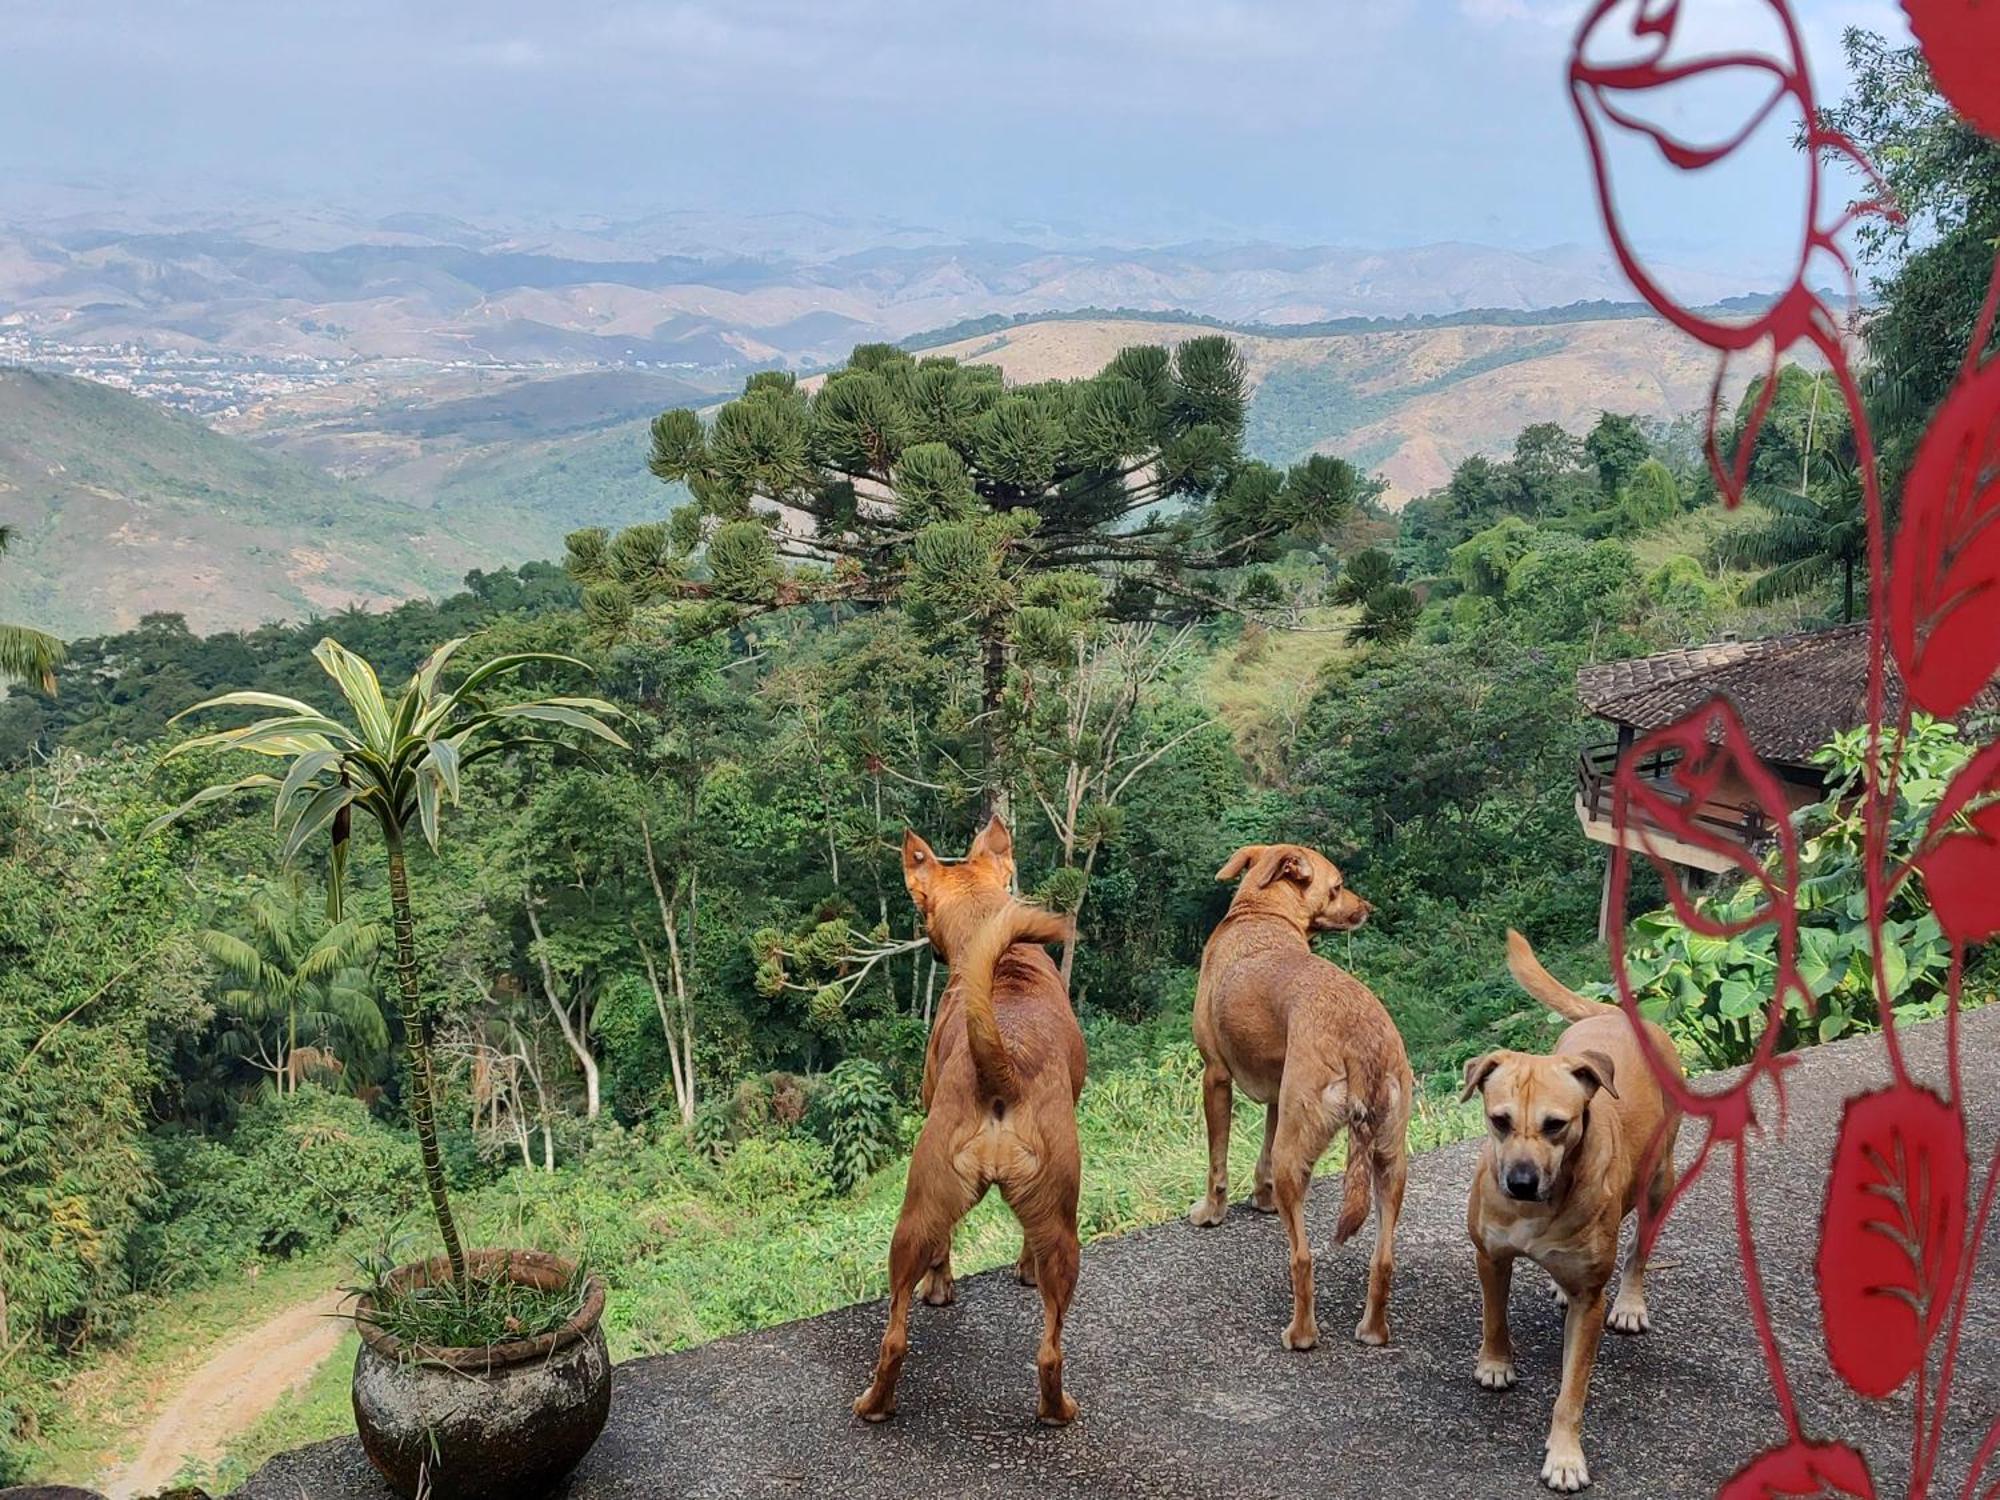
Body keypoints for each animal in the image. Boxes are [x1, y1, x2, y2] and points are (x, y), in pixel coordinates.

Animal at [852, 816, 1088, 1424]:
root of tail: (1001, 1067)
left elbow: (942, 1251)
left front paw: (940, 1286)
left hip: (915, 1211)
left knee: (895, 1335)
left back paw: (875, 1403)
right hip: (1062, 1229)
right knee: (1051, 1350)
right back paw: (1057, 1409)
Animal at [1176, 848, 1416, 1352]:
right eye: (1338, 886)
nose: (1368, 908)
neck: (1261, 913)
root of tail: (1359, 1038)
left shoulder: (1215, 1076)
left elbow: (1217, 1163)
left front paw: (1211, 1213)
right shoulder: (1276, 1095)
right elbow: (1261, 1157)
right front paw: (1262, 1199)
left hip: (1300, 1149)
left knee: (1302, 1259)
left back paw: (1301, 1333)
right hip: (1389, 1158)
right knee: (1383, 1259)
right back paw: (1373, 1329)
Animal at [1472, 936, 1688, 1496]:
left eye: (1557, 1125)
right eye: (1498, 1120)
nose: (1520, 1182)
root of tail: (1615, 1013)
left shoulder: (1590, 1300)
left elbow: (1572, 1391)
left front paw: (1566, 1457)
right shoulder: (1490, 1254)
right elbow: (1494, 1316)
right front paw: (1495, 1364)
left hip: (1661, 1179)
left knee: (1638, 1250)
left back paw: (1631, 1301)